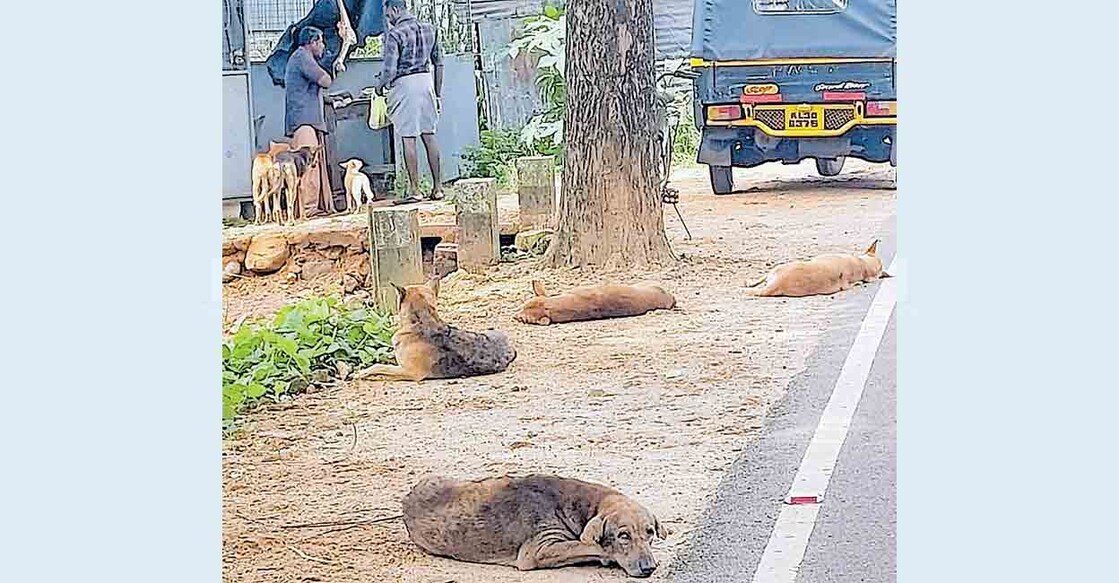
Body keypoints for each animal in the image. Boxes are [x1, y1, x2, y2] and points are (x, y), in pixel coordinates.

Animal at [402, 472, 662, 577]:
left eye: (650, 532)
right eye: (623, 536)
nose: (649, 567)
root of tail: (407, 497)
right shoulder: (539, 550)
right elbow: (590, 545)